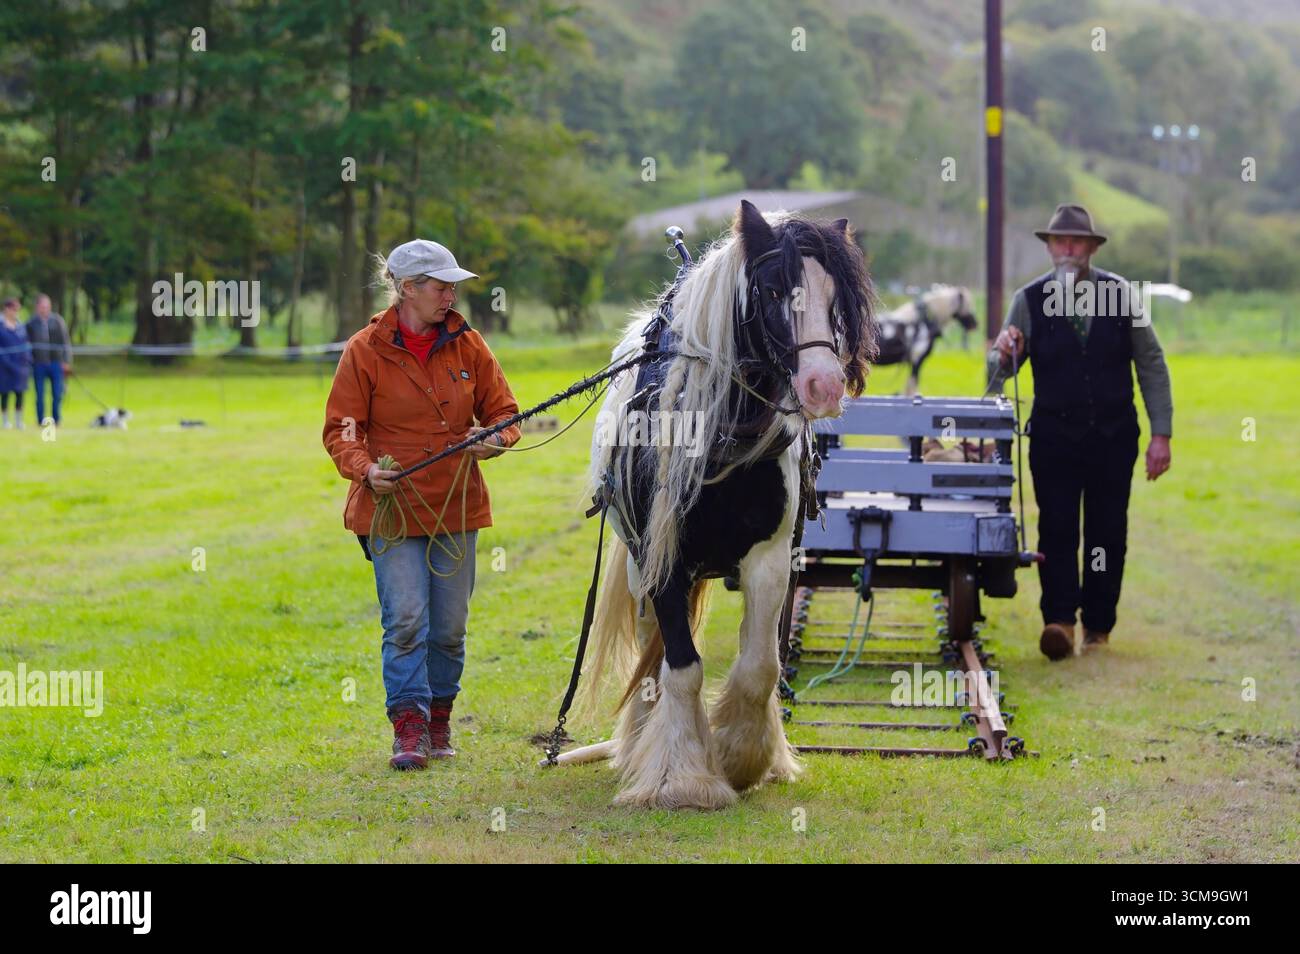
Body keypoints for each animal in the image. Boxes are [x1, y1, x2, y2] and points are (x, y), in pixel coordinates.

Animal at [563, 199, 878, 810]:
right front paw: (686, 779)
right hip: (638, 567)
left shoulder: (771, 560)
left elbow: (760, 666)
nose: (825, 387)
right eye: (774, 290)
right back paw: (642, 745)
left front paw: (740, 756)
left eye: (835, 298)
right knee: (652, 652)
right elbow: (681, 668)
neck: (722, 434)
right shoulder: (662, 560)